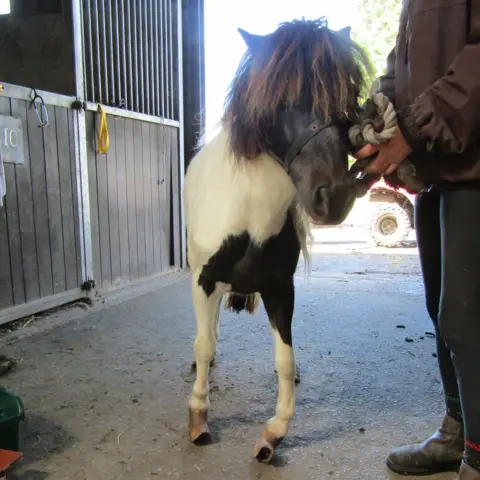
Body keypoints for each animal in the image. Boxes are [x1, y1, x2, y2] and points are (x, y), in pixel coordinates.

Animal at [182, 17, 374, 462]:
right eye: (281, 98)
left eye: (348, 93)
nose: (334, 197)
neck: (248, 219)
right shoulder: (204, 281)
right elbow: (204, 345)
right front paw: (199, 414)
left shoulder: (279, 288)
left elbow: (285, 359)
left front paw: (274, 434)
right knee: (207, 333)